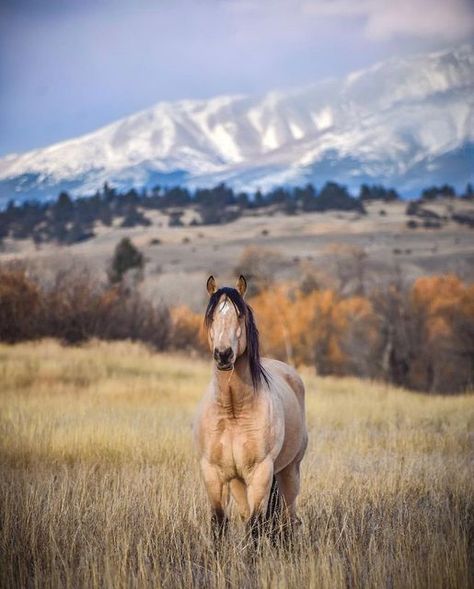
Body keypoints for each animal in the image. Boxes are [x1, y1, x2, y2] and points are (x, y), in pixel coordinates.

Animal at [193, 276, 308, 544]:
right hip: (238, 481)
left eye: (240, 315)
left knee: (288, 518)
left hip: (289, 472)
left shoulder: (260, 473)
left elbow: (256, 526)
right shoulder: (213, 473)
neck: (233, 409)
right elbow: (219, 523)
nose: (224, 355)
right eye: (211, 316)